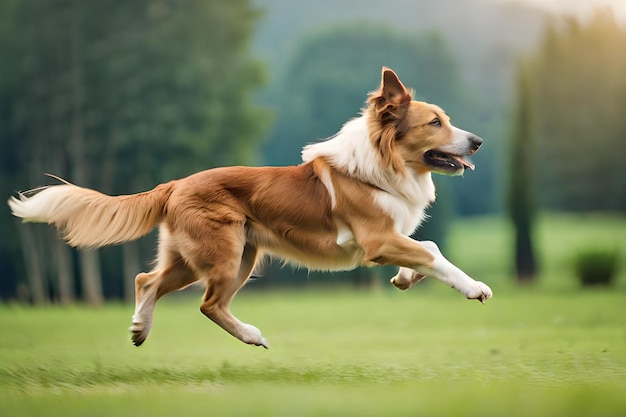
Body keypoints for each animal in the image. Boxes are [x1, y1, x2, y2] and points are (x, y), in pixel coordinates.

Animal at [7, 68, 490, 348]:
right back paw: (252, 335)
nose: (478, 142)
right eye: (435, 123)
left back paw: (140, 330)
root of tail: (175, 184)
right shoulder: (376, 239)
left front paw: (404, 278)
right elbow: (433, 251)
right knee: (207, 304)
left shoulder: (389, 238)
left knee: (148, 280)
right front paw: (474, 288)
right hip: (225, 255)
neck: (381, 164)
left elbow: (424, 248)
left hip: (215, 256)